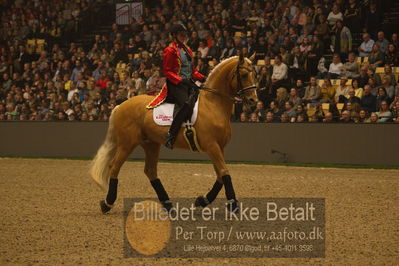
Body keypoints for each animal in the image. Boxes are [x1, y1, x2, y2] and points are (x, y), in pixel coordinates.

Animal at [90, 54, 260, 214]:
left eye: (255, 74)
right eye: (244, 74)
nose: (253, 101)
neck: (213, 104)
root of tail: (120, 106)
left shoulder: (219, 147)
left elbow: (220, 175)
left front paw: (202, 200)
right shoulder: (212, 146)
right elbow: (224, 172)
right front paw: (233, 204)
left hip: (151, 144)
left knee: (150, 171)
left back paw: (168, 205)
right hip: (127, 144)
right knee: (114, 167)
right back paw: (107, 204)